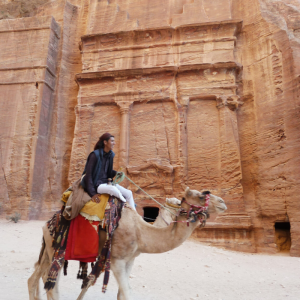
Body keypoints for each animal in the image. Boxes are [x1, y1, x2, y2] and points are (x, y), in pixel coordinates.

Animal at [28, 188, 227, 300]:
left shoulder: (130, 259)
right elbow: (127, 293)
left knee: (37, 276)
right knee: (51, 284)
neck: (140, 231)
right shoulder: (117, 260)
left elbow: (120, 294)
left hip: (48, 249)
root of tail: (48, 223)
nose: (223, 202)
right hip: (58, 250)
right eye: (202, 195)